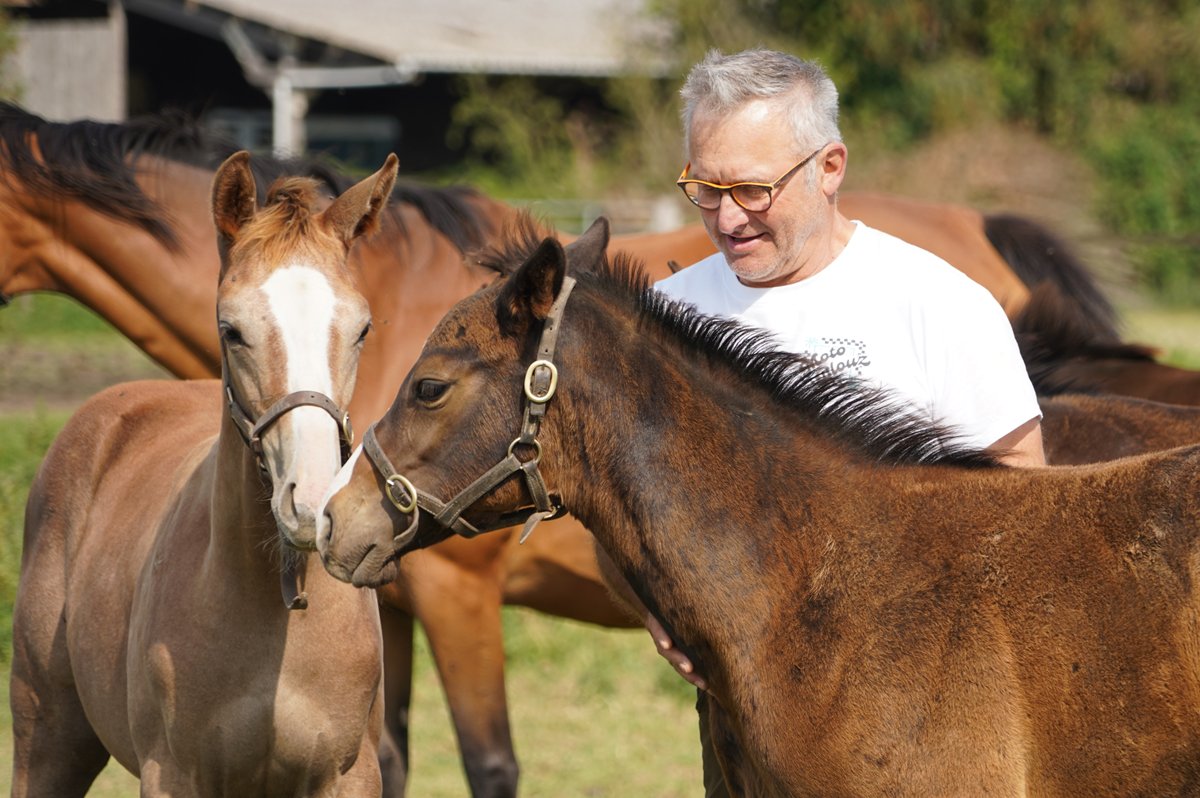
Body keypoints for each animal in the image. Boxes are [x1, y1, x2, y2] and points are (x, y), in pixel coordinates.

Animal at [9, 152, 398, 796]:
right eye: (231, 329)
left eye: (363, 329)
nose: (312, 502)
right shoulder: (173, 774)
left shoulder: (349, 776)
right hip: (47, 739)